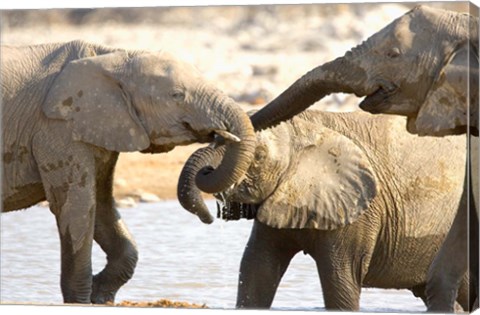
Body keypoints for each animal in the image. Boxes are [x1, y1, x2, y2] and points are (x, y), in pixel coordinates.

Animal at [0, 40, 258, 304]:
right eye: (176, 95)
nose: (211, 217)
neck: (110, 56)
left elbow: (102, 206)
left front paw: (100, 298)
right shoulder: (56, 130)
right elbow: (77, 207)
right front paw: (81, 302)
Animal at [178, 110, 474, 312]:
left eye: (258, 157)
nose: (210, 216)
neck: (308, 126)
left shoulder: (359, 208)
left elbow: (340, 280)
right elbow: (257, 268)